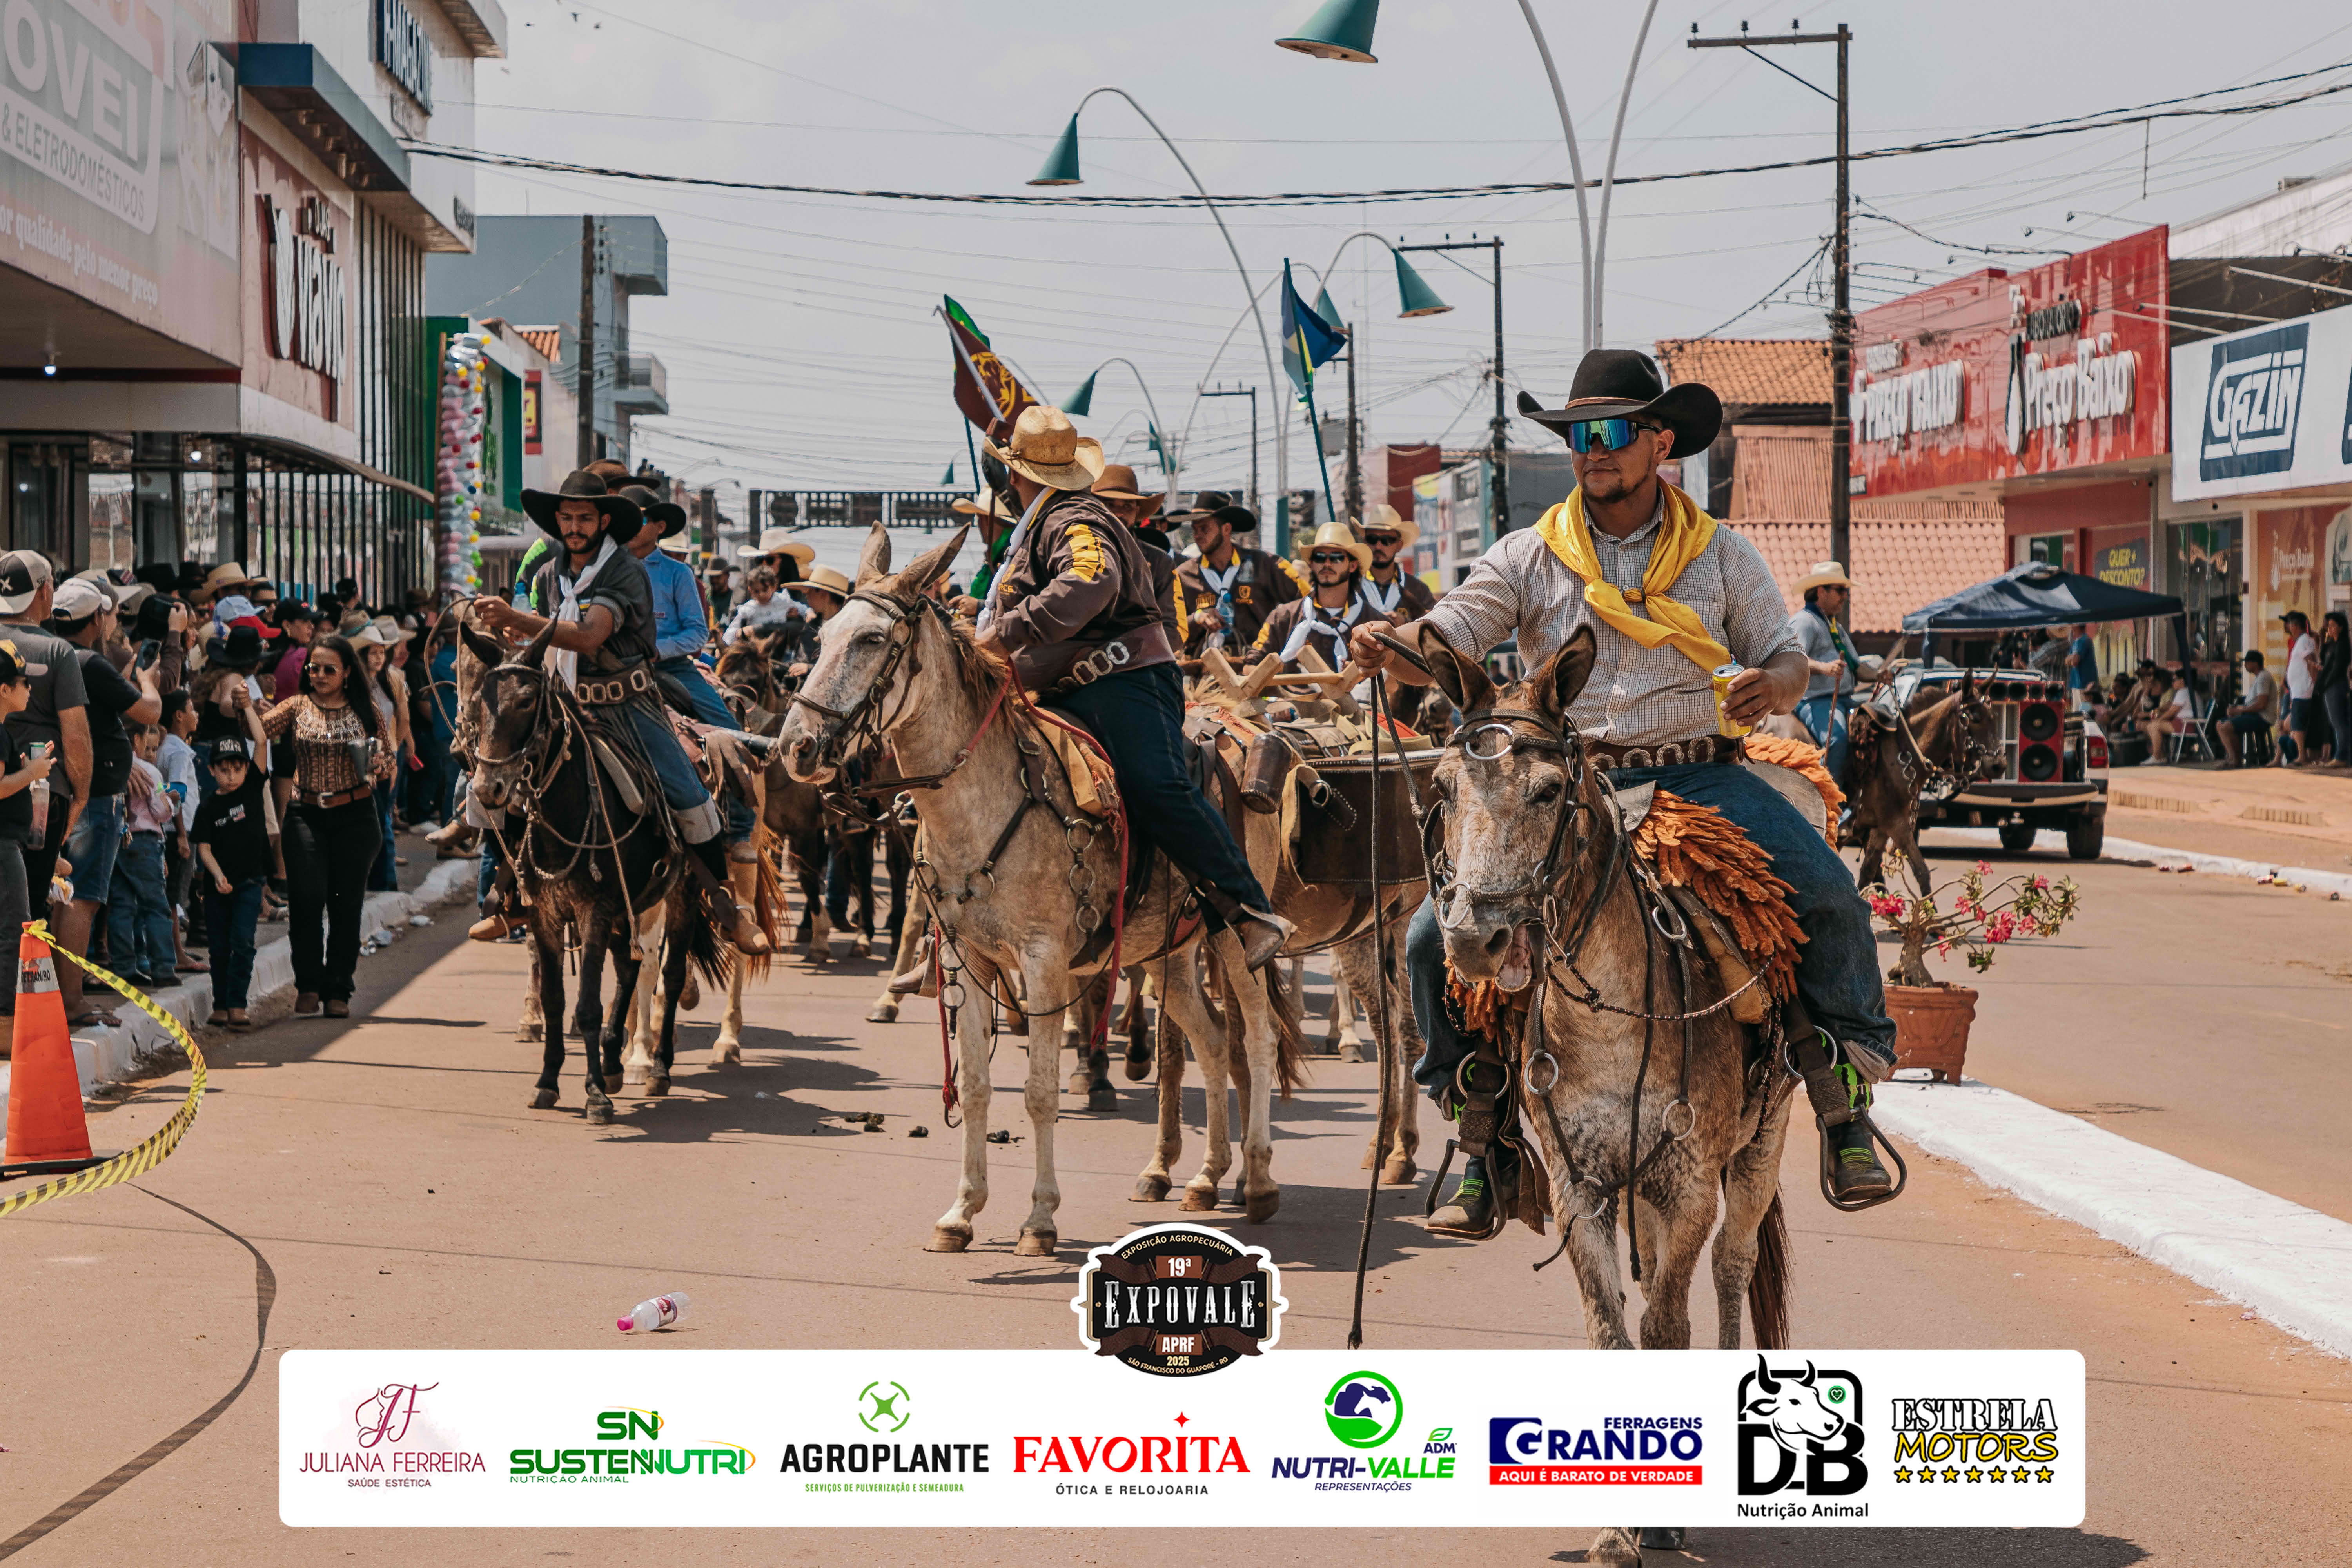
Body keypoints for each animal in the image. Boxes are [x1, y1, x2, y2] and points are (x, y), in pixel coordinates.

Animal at [460, 616, 728, 1123]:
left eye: (527, 701)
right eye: (478, 703)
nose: (488, 789)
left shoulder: (596, 910)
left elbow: (586, 1003)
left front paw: (595, 1094)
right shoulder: (546, 914)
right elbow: (555, 998)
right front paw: (549, 1081)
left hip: (679, 891)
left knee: (670, 973)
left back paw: (657, 1067)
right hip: (629, 904)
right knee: (629, 967)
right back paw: (614, 1060)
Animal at [779, 523, 1302, 1254]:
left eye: (872, 640)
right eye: (822, 637)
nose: (795, 747)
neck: (986, 801)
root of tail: (1237, 729)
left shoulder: (1044, 963)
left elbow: (1040, 1092)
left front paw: (1039, 1219)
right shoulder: (967, 961)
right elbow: (973, 1086)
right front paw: (961, 1212)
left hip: (1232, 944)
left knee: (1255, 1036)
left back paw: (1257, 1180)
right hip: (1167, 955)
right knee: (1212, 1041)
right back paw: (1202, 1177)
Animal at [1421, 626, 1794, 1568]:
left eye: (1551, 790)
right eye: (1442, 788)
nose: (1476, 939)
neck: (1612, 1012)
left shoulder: (1691, 1181)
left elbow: (1664, 1328)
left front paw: (1659, 1517)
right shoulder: (1578, 1187)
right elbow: (1610, 1330)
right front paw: (1622, 1520)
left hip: (1760, 1147)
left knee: (1731, 1272)